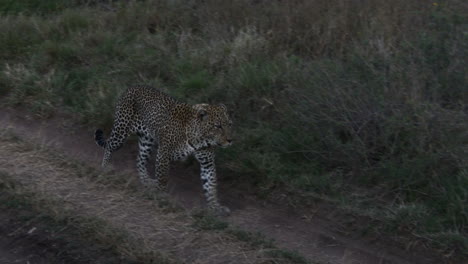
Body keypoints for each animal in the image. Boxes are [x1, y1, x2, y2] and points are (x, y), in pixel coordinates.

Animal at [94, 85, 232, 216]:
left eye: (229, 124)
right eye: (218, 126)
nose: (230, 140)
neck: (200, 139)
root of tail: (132, 88)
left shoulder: (207, 162)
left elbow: (211, 184)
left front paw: (215, 207)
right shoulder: (164, 153)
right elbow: (163, 178)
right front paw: (161, 196)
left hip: (147, 140)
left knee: (140, 160)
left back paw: (147, 181)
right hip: (121, 132)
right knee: (109, 146)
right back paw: (105, 169)